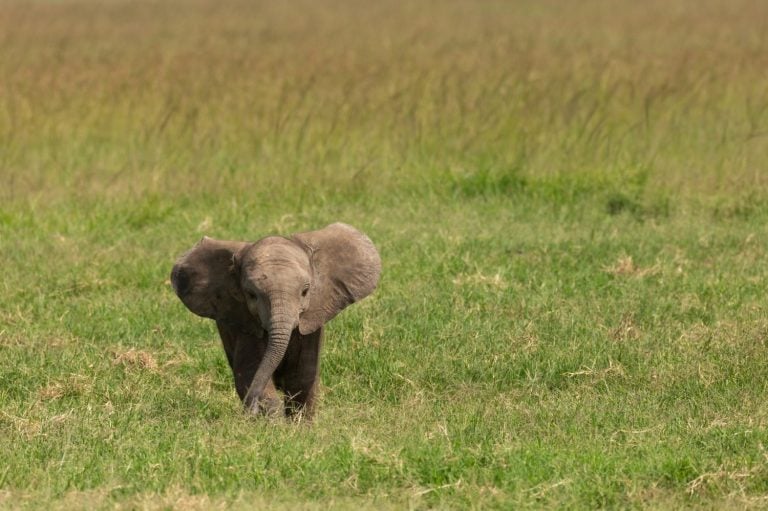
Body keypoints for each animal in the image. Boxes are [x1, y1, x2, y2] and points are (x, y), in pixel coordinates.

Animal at [170, 222, 381, 420]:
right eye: (251, 295)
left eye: (305, 291)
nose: (250, 410)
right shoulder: (246, 321)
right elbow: (250, 371)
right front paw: (271, 423)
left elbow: (302, 375)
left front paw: (299, 427)